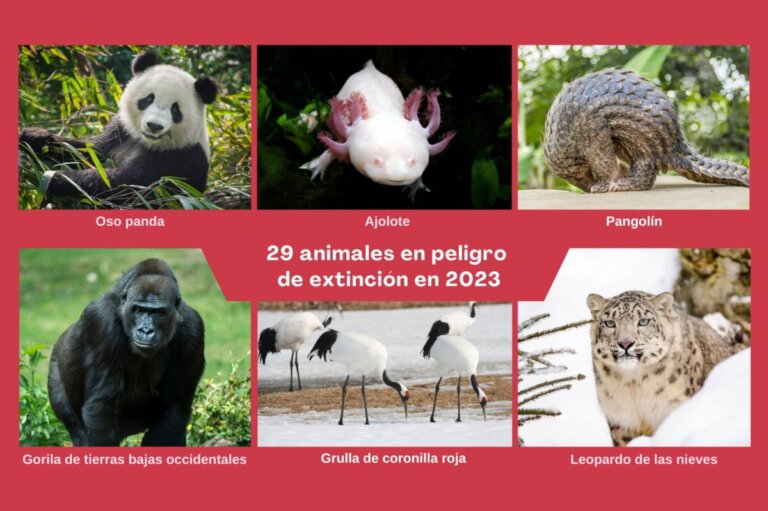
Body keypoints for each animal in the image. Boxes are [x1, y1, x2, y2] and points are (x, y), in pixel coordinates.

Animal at [20, 51, 218, 200]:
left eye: (175, 110)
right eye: (148, 99)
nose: (154, 126)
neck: (147, 142)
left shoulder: (180, 160)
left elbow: (126, 184)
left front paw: (58, 178)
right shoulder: (121, 132)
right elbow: (88, 151)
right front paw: (34, 136)